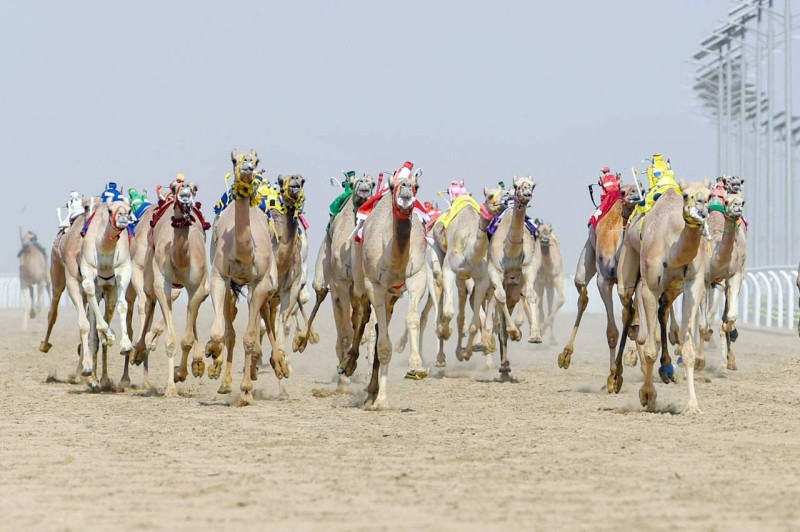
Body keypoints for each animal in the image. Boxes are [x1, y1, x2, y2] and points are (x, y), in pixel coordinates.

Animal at [203, 150, 288, 404]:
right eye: (234, 159)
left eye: (256, 159)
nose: (248, 167)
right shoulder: (220, 277)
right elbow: (221, 333)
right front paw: (212, 353)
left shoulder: (260, 283)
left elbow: (249, 338)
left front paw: (246, 391)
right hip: (235, 286)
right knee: (231, 326)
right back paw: (224, 381)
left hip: (265, 284)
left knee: (265, 316)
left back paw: (278, 365)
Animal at [616, 181, 708, 414]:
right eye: (686, 195)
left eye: (710, 195)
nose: (701, 207)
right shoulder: (649, 288)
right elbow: (650, 349)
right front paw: (647, 396)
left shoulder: (693, 284)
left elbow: (687, 349)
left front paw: (693, 405)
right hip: (628, 263)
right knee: (629, 311)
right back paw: (615, 376)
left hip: (671, 288)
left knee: (661, 312)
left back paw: (666, 369)